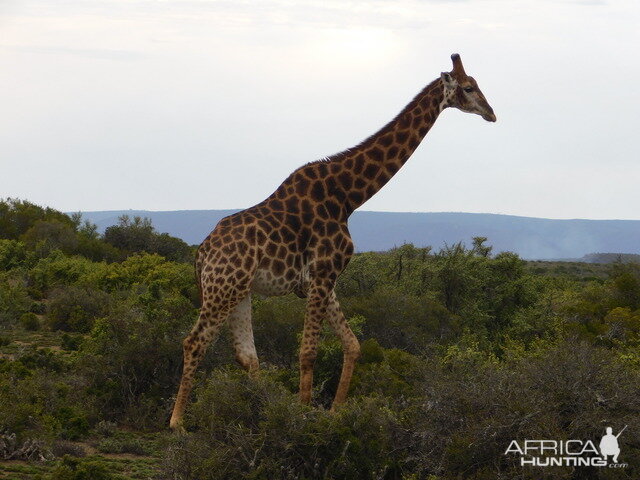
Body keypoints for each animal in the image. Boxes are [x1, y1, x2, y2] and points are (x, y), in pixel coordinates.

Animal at [169, 53, 496, 432]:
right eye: (469, 87)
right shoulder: (323, 273)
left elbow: (352, 345)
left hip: (240, 290)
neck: (348, 196)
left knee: (246, 354)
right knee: (194, 341)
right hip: (223, 287)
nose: (491, 113)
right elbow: (309, 351)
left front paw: (334, 412)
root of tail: (201, 253)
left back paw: (262, 409)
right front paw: (301, 415)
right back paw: (177, 422)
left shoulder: (322, 279)